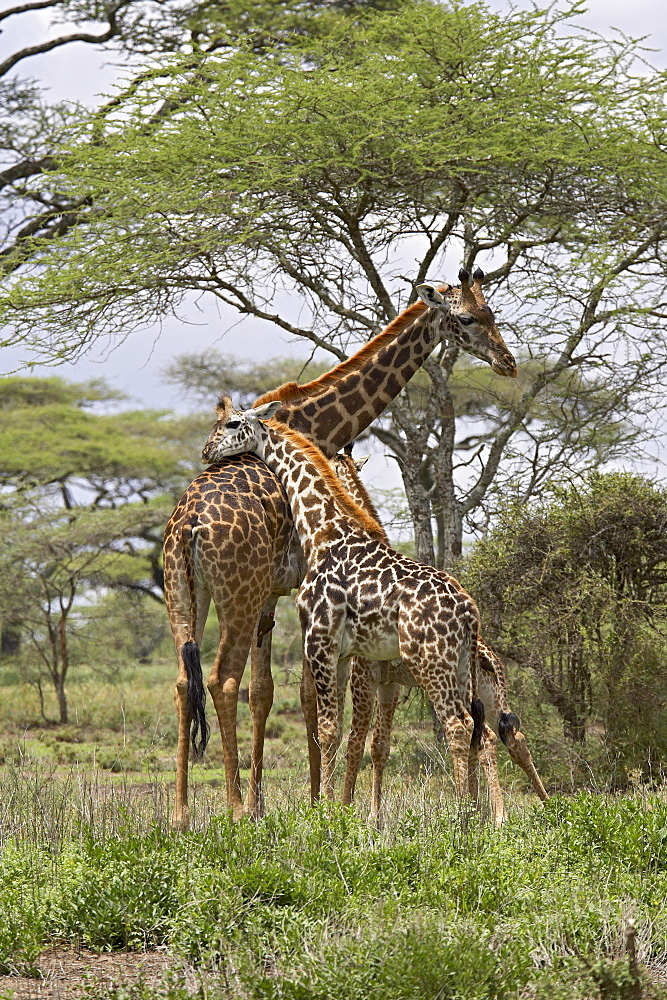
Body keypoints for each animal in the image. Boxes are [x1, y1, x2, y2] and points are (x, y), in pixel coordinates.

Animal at [201, 402, 488, 800]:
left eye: (232, 423)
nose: (207, 451)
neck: (323, 531)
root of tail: (469, 612)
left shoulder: (320, 642)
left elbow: (328, 731)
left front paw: (325, 805)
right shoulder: (343, 653)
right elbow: (338, 732)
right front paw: (338, 806)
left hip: (431, 660)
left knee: (458, 725)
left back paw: (460, 813)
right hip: (461, 664)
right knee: (475, 728)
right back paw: (476, 811)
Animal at [328, 450, 548, 824]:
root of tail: (485, 652)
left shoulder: (363, 676)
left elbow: (356, 742)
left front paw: (347, 811)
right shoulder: (390, 683)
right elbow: (380, 745)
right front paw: (374, 818)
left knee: (483, 737)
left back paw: (495, 815)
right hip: (488, 692)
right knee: (510, 735)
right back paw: (543, 806)